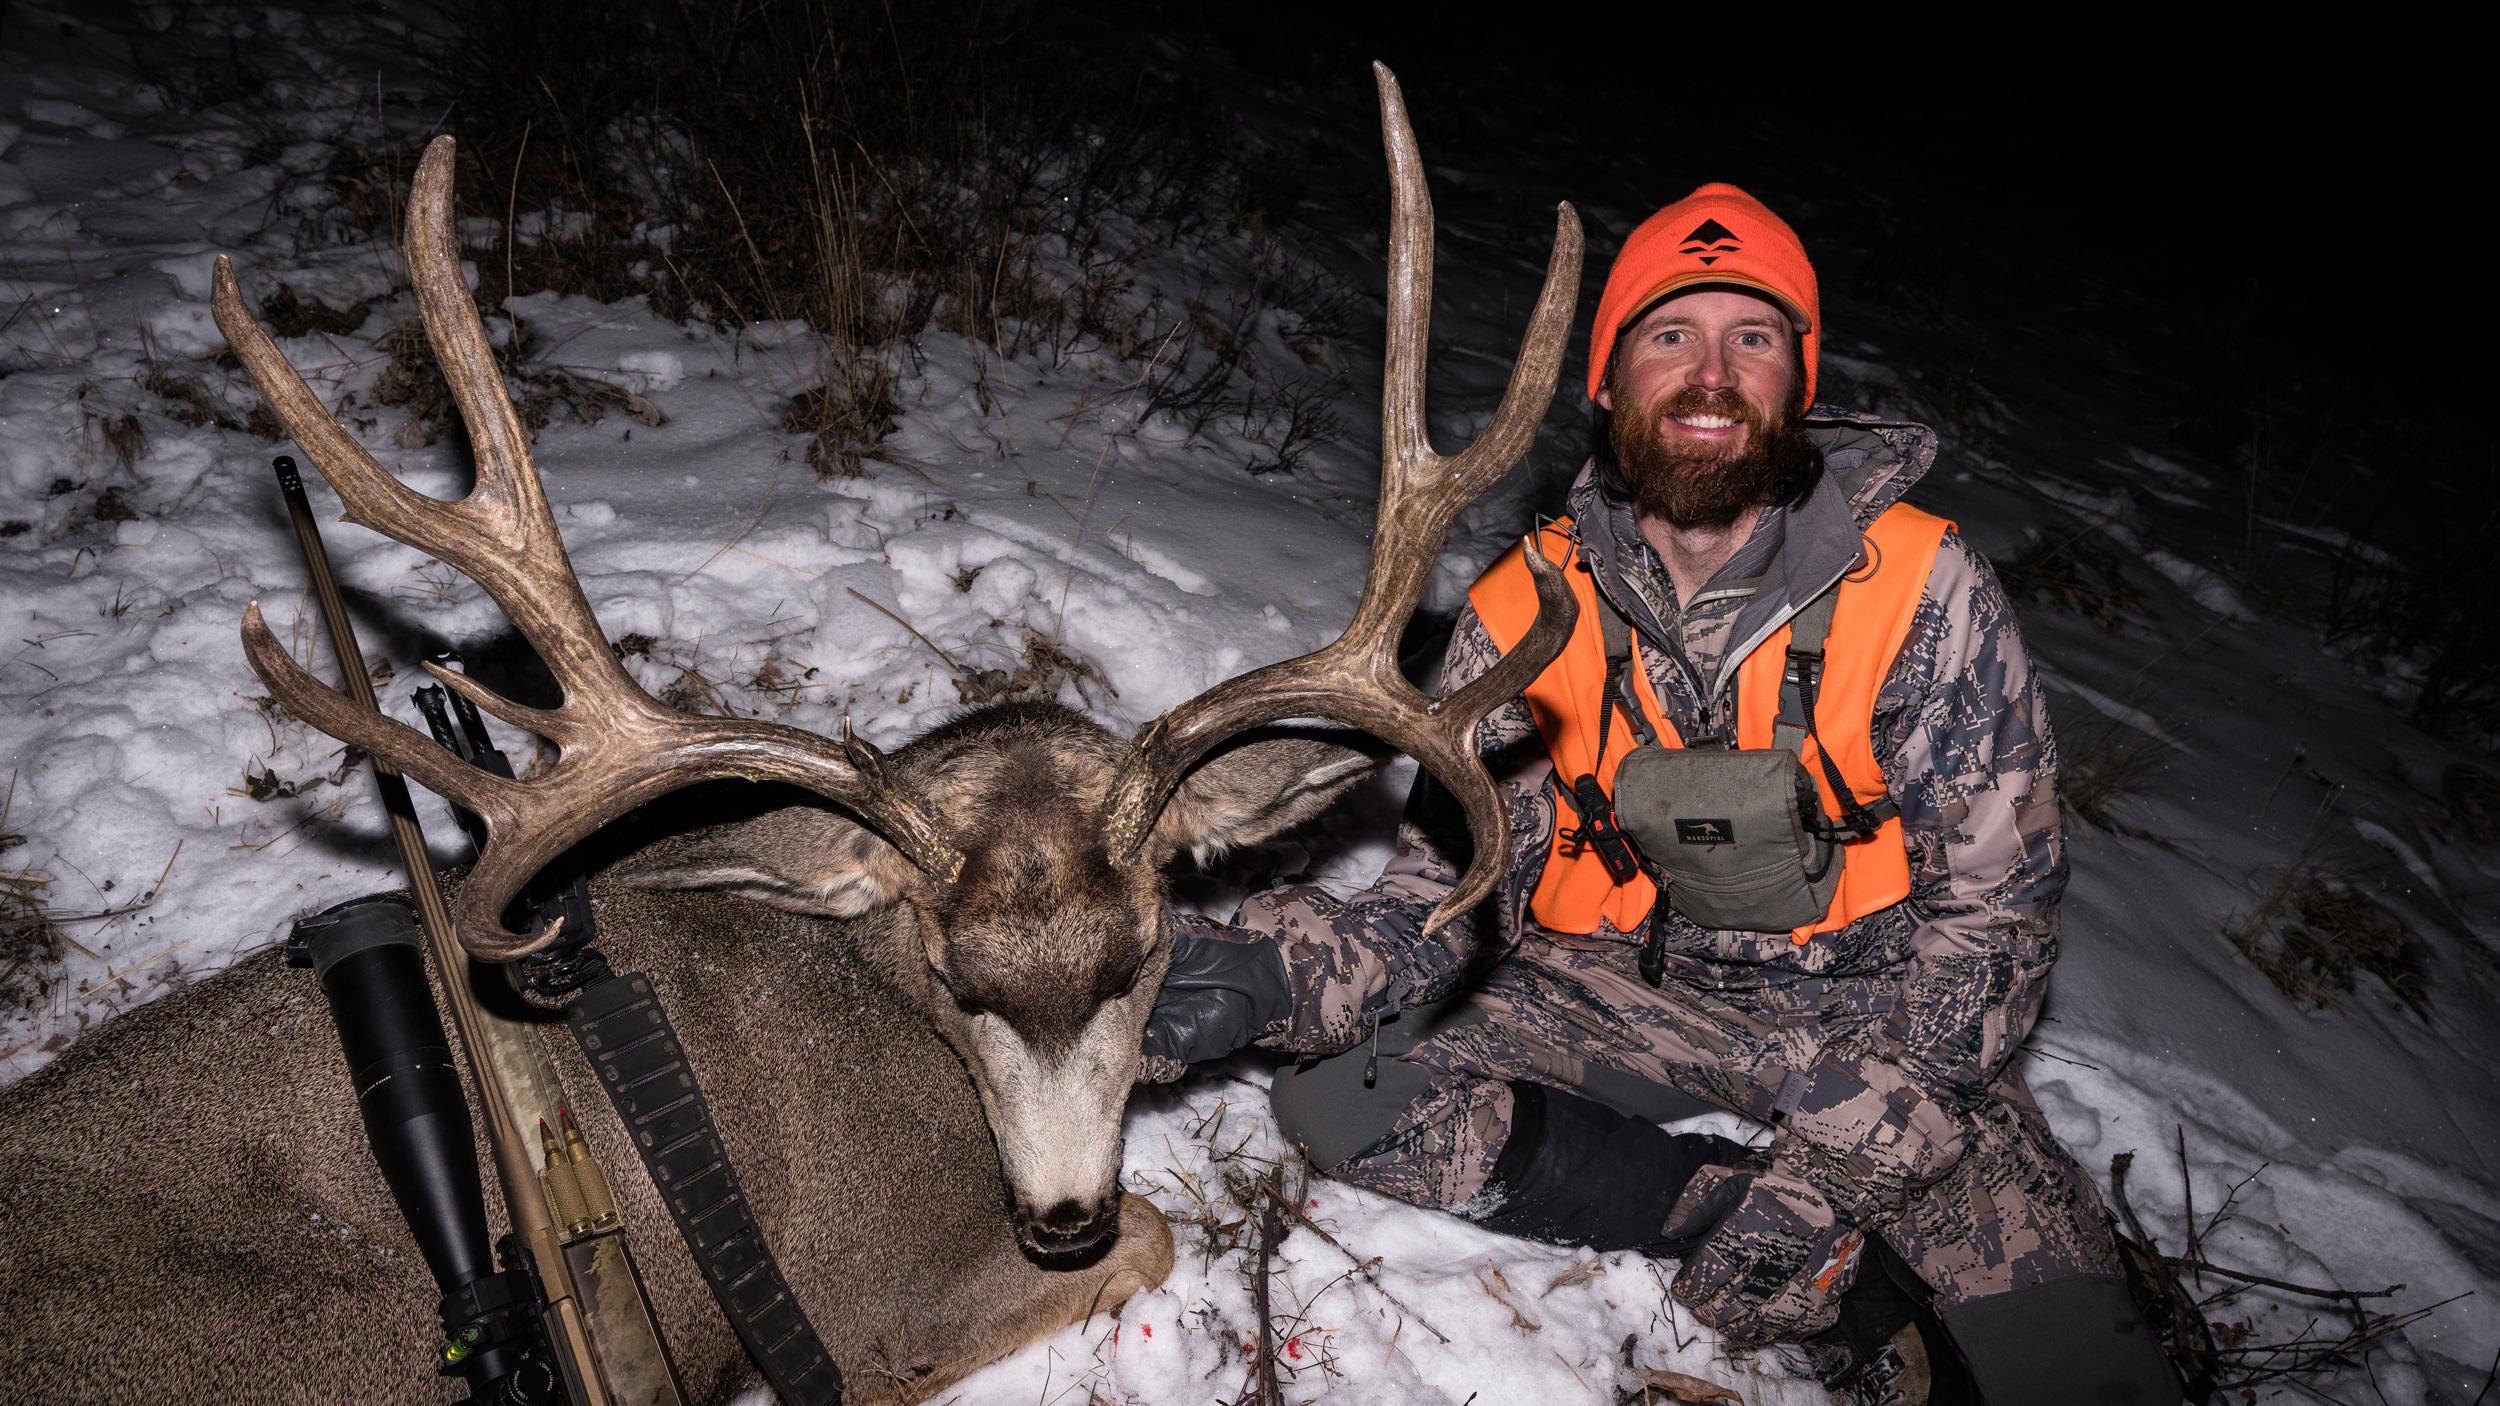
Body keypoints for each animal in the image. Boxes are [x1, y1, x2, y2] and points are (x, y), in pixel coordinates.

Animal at [0, 65, 1581, 1404]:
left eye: (1143, 953)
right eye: (953, 977)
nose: (1059, 1214)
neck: (881, 1011)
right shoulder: (873, 1303)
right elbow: (1154, 1235)